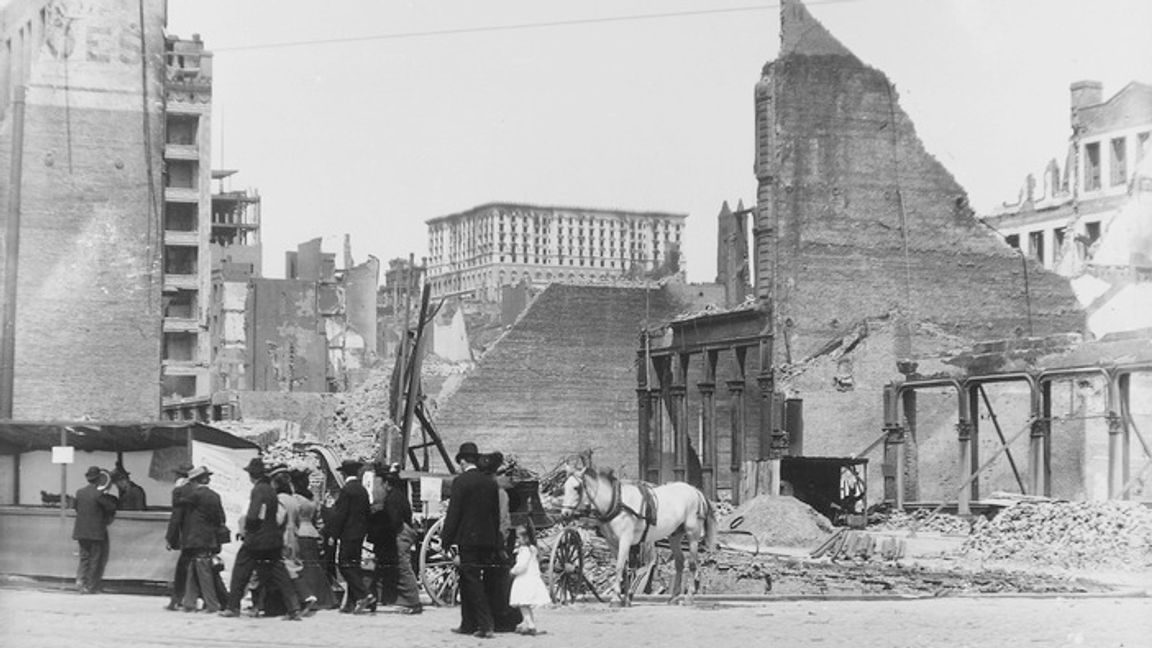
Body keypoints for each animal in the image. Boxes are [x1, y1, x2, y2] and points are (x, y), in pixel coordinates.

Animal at [559, 449, 714, 604]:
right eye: (564, 487)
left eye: (576, 487)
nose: (565, 513)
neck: (616, 502)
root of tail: (695, 491)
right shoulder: (612, 542)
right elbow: (623, 566)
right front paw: (625, 597)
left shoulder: (625, 539)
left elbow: (619, 565)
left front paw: (616, 597)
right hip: (675, 535)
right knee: (680, 562)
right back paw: (674, 596)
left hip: (693, 534)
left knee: (692, 563)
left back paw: (689, 596)